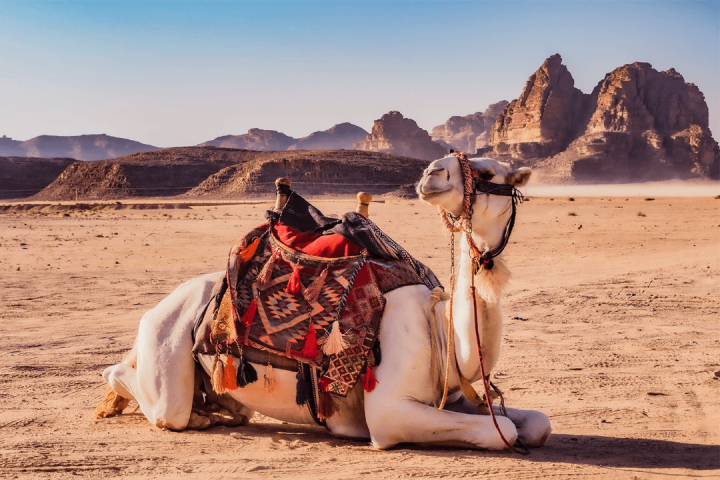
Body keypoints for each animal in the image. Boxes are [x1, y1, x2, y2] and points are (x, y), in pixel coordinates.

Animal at [97, 154, 551, 450]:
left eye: (487, 171)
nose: (431, 172)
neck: (440, 333)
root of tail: (158, 308)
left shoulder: (455, 398)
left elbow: (536, 424)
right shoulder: (390, 414)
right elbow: (503, 432)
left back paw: (215, 411)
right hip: (166, 344)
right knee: (143, 391)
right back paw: (156, 409)